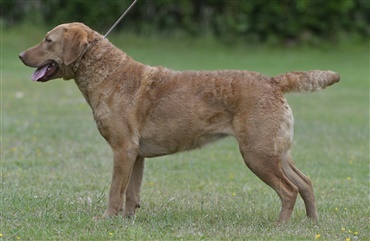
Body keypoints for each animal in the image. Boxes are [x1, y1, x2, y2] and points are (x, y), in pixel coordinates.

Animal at [18, 22, 340, 224]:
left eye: (48, 40)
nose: (20, 55)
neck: (107, 74)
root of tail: (274, 82)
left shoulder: (122, 149)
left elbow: (114, 190)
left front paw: (107, 219)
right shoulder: (136, 154)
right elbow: (132, 192)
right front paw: (126, 221)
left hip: (257, 154)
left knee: (289, 190)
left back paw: (280, 226)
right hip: (276, 151)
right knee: (306, 182)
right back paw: (311, 223)